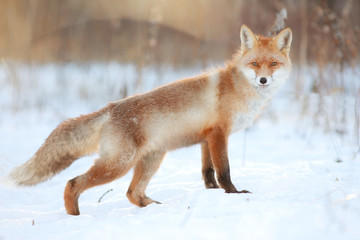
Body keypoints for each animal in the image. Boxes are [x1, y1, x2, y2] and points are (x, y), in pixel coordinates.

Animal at [8, 24, 292, 216]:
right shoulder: (218, 134)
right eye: (254, 64)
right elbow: (224, 171)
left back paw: (154, 207)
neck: (238, 89)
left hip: (151, 160)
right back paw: (75, 218)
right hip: (118, 165)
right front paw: (233, 194)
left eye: (273, 64)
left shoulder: (207, 138)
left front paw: (212, 194)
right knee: (72, 183)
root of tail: (110, 108)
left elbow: (207, 172)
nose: (263, 80)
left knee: (132, 193)